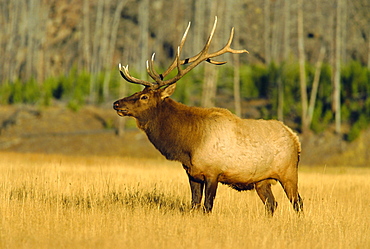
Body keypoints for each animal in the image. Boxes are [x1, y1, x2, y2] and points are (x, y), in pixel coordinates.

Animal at [113, 17, 304, 215]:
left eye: (144, 97)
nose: (116, 103)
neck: (188, 144)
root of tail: (295, 138)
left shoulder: (213, 172)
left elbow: (207, 206)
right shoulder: (192, 174)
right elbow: (194, 204)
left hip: (288, 173)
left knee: (297, 202)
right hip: (261, 181)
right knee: (272, 204)